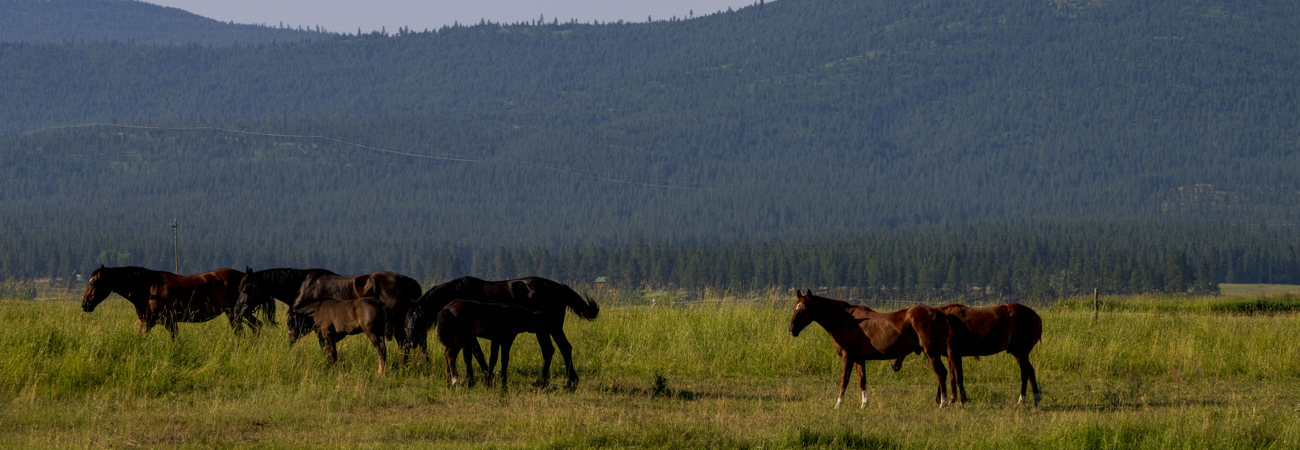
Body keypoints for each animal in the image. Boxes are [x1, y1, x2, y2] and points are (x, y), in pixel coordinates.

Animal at [80, 265, 257, 339]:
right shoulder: (145, 321)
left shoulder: (168, 321)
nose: (85, 304)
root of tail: (247, 277)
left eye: (94, 283)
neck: (148, 288)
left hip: (236, 314)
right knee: (256, 327)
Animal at [405, 276, 599, 389]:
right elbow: (469, 355)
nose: (411, 342)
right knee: (558, 349)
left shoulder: (471, 334)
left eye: (416, 319)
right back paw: (558, 382)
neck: (458, 292)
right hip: (547, 329)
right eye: (405, 322)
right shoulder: (468, 335)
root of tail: (560, 287)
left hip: (549, 328)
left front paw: (486, 378)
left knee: (557, 349)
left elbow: (477, 354)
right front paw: (472, 380)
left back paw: (557, 382)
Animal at [788, 290, 952, 408]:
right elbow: (862, 381)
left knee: (941, 373)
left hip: (931, 353)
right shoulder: (859, 359)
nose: (791, 330)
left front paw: (838, 405)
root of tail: (940, 314)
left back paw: (943, 403)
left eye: (804, 309)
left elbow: (844, 380)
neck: (845, 320)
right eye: (794, 308)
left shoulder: (848, 357)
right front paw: (863, 405)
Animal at [891, 303, 1042, 406]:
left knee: (1027, 371)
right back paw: (1032, 398)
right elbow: (952, 377)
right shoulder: (949, 355)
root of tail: (1037, 318)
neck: (945, 323)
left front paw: (962, 400)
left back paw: (1025, 399)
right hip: (1020, 353)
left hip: (1020, 352)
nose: (893, 365)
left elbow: (959, 377)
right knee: (1028, 371)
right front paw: (952, 399)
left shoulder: (954, 353)